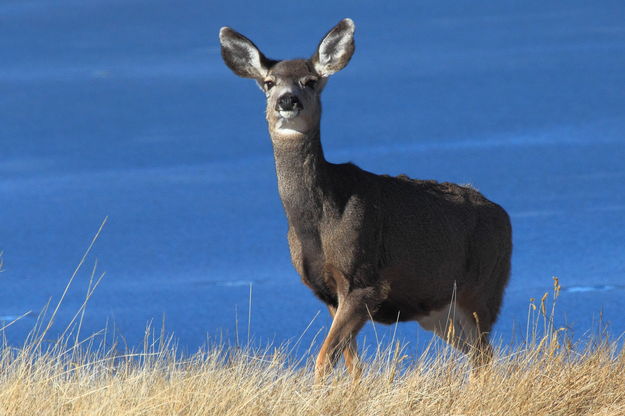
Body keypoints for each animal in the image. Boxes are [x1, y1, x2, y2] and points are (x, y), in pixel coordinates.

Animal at [219, 19, 512, 382]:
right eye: (268, 82)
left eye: (310, 81)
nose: (287, 100)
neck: (318, 223)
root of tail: (504, 216)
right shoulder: (328, 293)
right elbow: (352, 363)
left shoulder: (365, 282)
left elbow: (324, 359)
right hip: (438, 310)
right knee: (477, 353)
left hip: (483, 289)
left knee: (485, 354)